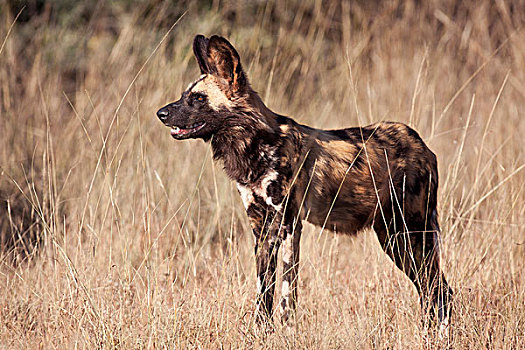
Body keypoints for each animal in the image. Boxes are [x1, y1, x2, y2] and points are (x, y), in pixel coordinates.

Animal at [155, 34, 450, 330]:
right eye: (184, 96)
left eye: (198, 98)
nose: (161, 113)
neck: (255, 146)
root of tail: (422, 145)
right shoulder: (261, 228)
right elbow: (264, 289)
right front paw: (261, 331)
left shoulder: (287, 224)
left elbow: (287, 290)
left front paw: (286, 329)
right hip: (393, 238)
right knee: (432, 289)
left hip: (410, 233)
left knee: (438, 288)